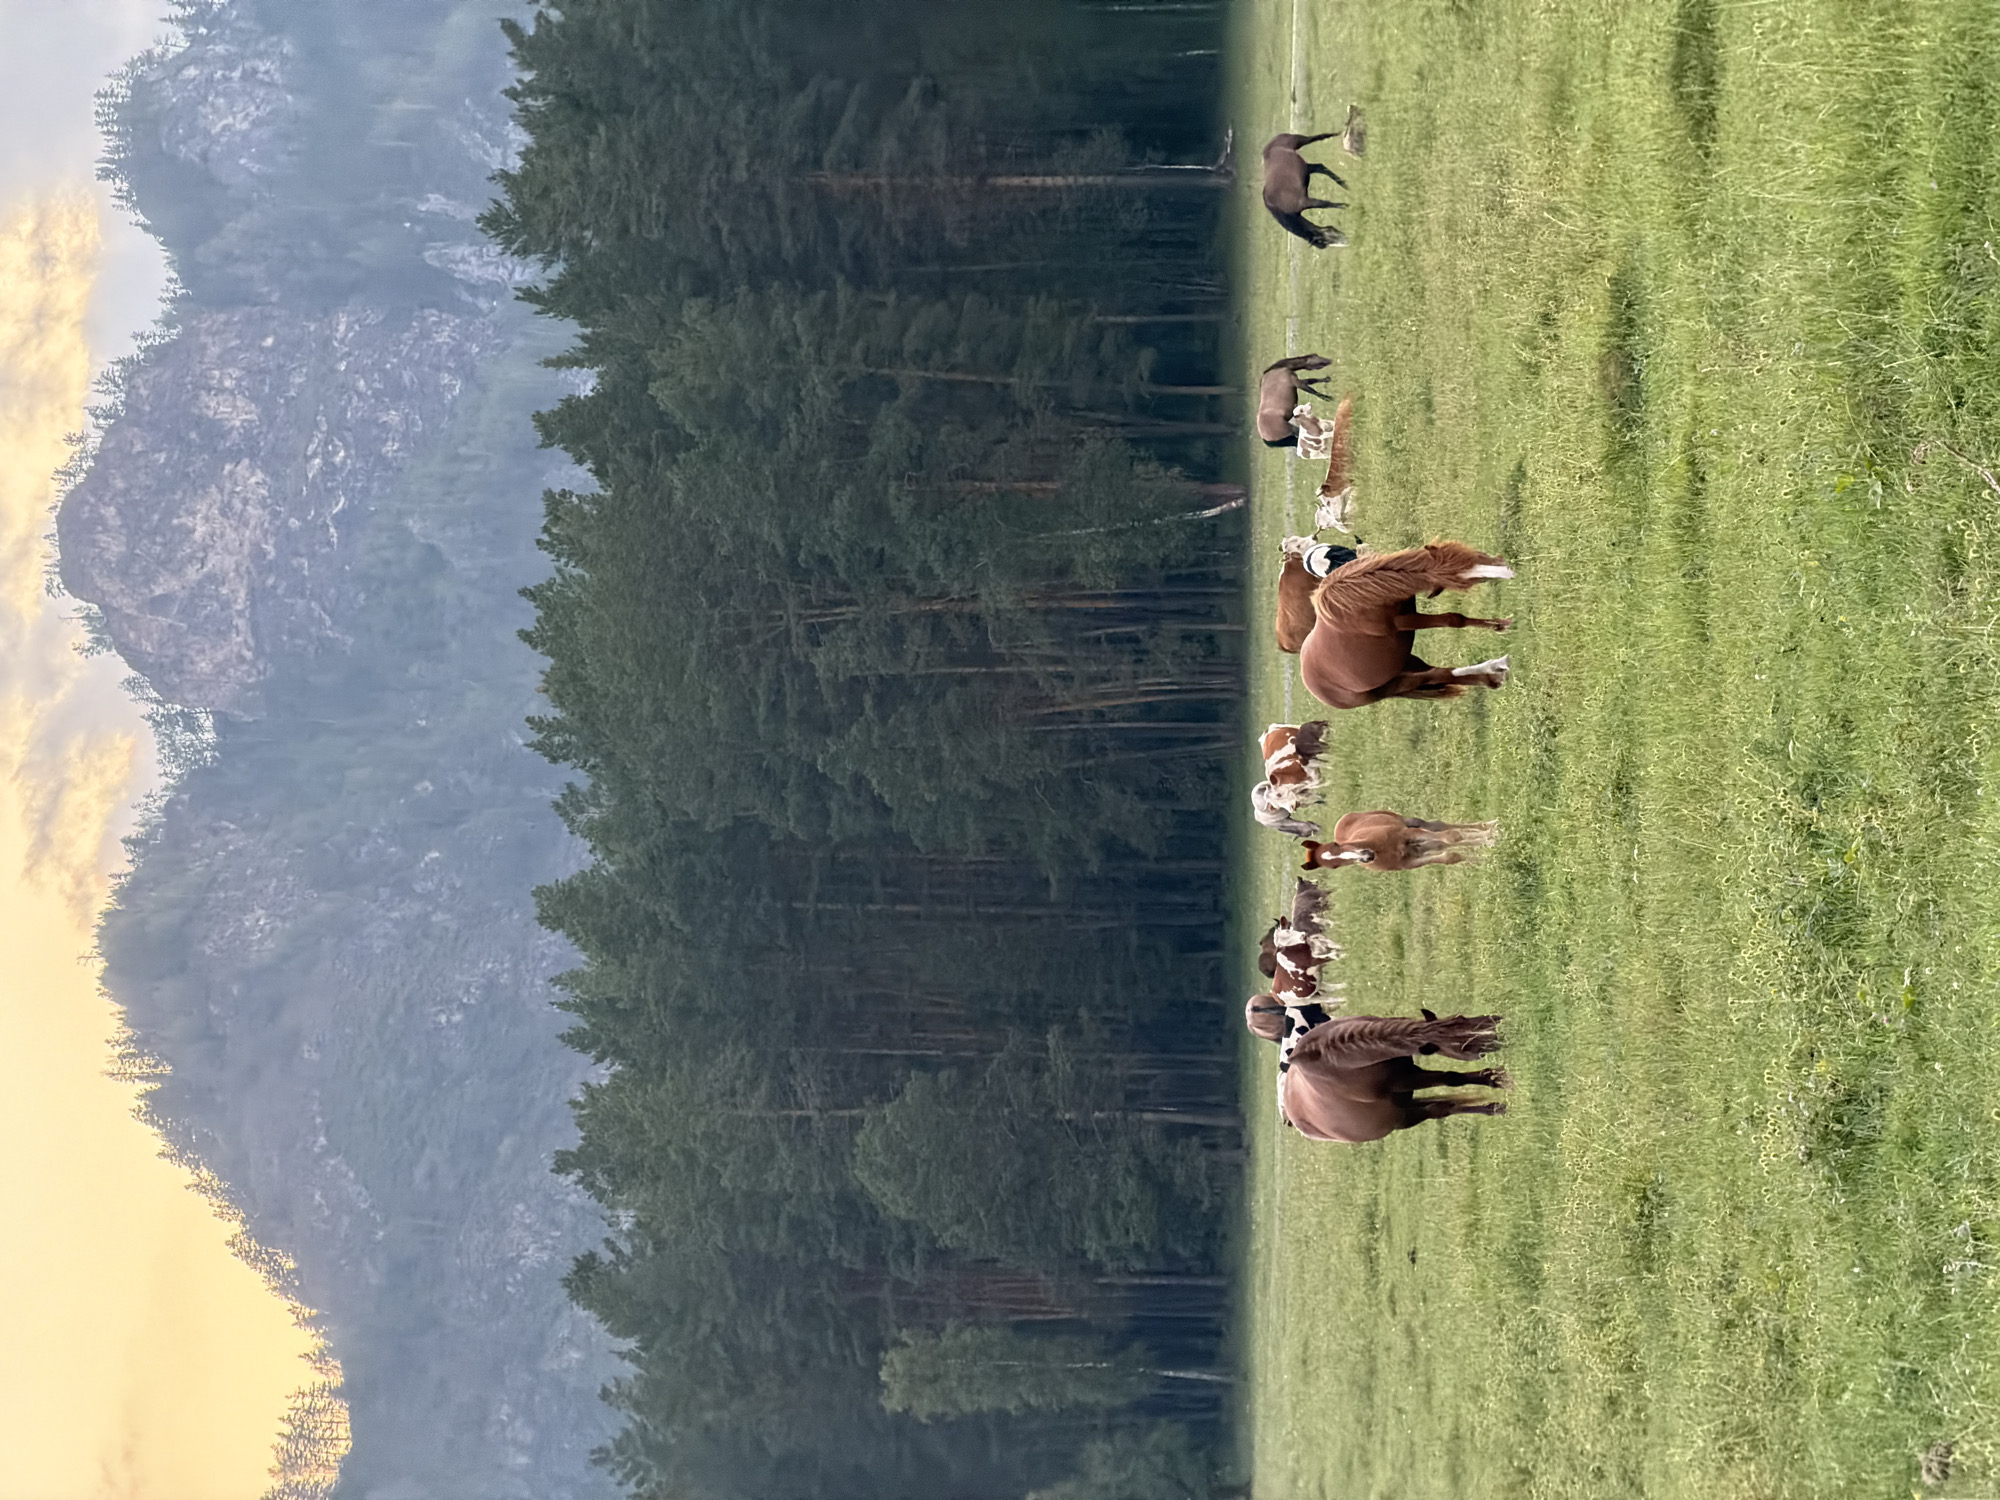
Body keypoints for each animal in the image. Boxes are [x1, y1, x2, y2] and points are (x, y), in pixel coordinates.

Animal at [1245, 1003, 1508, 1142]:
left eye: (1461, 1016)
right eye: (1464, 1047)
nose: (1496, 1027)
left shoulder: (1408, 1070)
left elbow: (1452, 1078)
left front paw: (1490, 1078)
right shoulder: (1405, 1079)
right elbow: (1452, 1079)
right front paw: (1491, 1079)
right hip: (1402, 1117)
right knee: (1440, 1109)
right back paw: (1490, 1108)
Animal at [1298, 542, 1514, 710]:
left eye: (1476, 555)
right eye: (1462, 582)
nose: (1508, 570)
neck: (1355, 599)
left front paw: (1499, 625)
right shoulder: (1403, 622)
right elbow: (1453, 619)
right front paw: (1497, 624)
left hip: (1405, 664)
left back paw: (1492, 676)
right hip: (1394, 684)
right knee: (1438, 675)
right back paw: (1494, 667)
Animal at [1302, 811, 1500, 872]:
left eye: (1336, 845)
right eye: (1334, 866)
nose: (1366, 856)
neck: (1382, 850)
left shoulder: (1407, 833)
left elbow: (1453, 836)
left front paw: (1489, 842)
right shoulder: (1409, 863)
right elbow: (1450, 856)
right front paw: (1485, 857)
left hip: (1407, 821)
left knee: (1438, 826)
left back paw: (1489, 826)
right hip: (1417, 849)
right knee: (1440, 843)